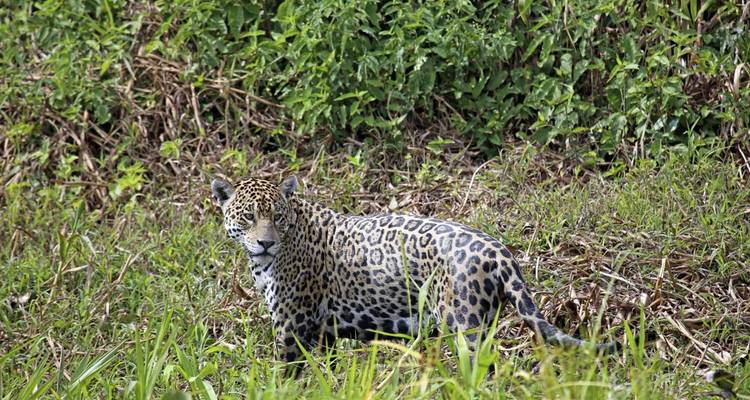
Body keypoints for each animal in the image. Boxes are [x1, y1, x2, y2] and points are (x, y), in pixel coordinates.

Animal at [211, 175, 617, 364]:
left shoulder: (292, 326)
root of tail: (498, 249)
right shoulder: (321, 334)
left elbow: (284, 376)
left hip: (463, 323)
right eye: (249, 217)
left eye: (277, 218)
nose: (266, 242)